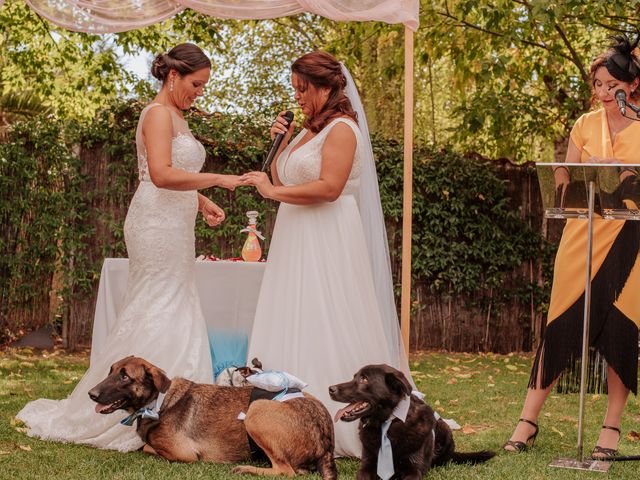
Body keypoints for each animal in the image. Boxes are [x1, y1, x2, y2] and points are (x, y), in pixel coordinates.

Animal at [91, 354, 340, 478]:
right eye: (111, 371)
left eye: (125, 377)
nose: (91, 394)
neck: (157, 403)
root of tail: (326, 442)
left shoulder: (183, 453)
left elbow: (147, 448)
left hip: (256, 410)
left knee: (286, 472)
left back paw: (247, 469)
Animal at [330, 366, 496, 478]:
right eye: (354, 377)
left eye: (364, 379)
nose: (330, 389)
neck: (389, 423)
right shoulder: (366, 465)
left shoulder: (413, 469)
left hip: (445, 430)